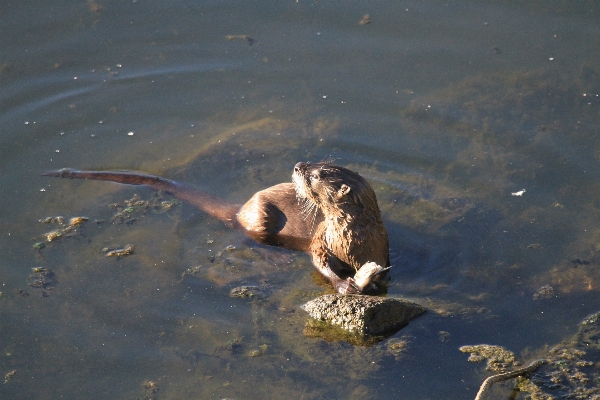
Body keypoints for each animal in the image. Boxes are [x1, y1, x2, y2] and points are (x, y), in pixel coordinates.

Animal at [42, 162, 390, 294]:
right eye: (314, 166)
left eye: (317, 175)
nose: (297, 166)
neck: (349, 240)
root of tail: (241, 208)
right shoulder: (321, 240)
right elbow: (319, 263)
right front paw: (345, 284)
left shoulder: (381, 245)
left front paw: (372, 281)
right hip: (261, 215)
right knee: (246, 235)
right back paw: (275, 256)